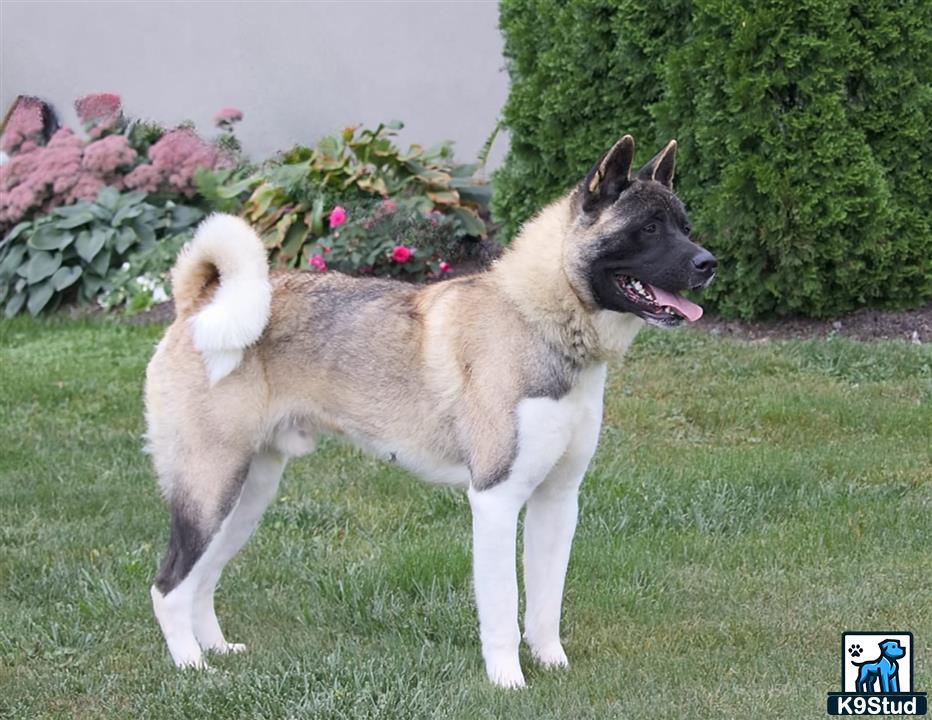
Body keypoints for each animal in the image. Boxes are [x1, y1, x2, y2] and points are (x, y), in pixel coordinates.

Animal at [146, 135, 716, 688]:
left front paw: (553, 664)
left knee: (202, 579)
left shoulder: (557, 502)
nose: (709, 263)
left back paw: (216, 648)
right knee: (169, 584)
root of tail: (200, 302)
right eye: (648, 228)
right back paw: (192, 666)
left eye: (685, 227)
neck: (537, 320)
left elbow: (545, 605)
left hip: (246, 494)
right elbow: (504, 608)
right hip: (211, 488)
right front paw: (508, 682)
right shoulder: (495, 501)